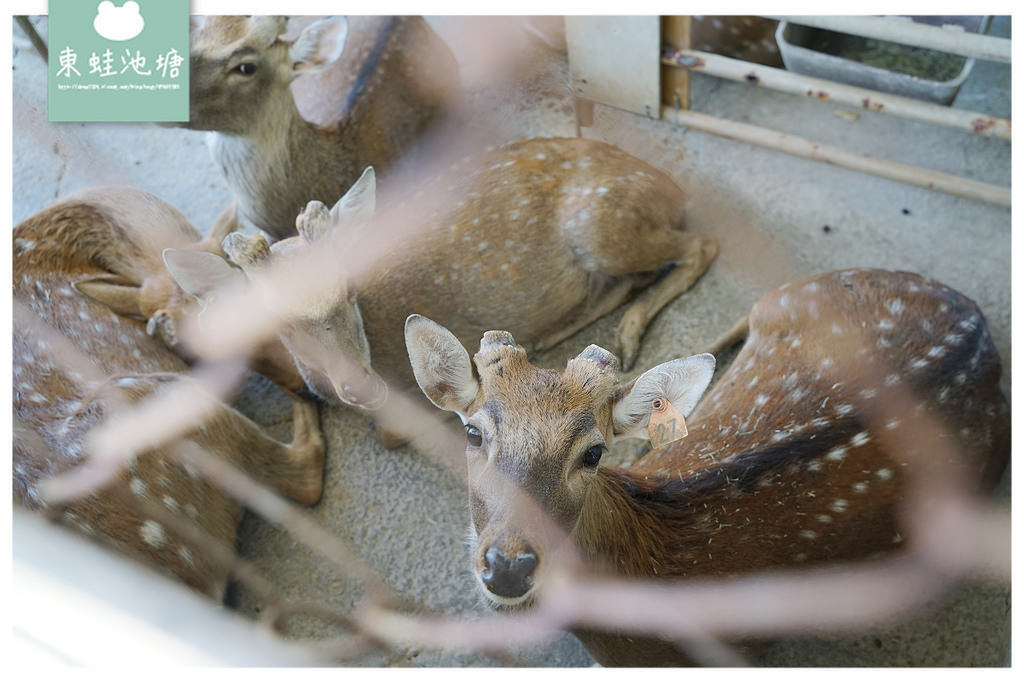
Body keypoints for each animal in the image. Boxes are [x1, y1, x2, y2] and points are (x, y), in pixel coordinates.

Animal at [161, 139, 720, 448]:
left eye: (348, 289)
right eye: (276, 323)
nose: (360, 386)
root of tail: (672, 187)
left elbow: (397, 430)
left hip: (600, 223)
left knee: (702, 244)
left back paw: (626, 333)